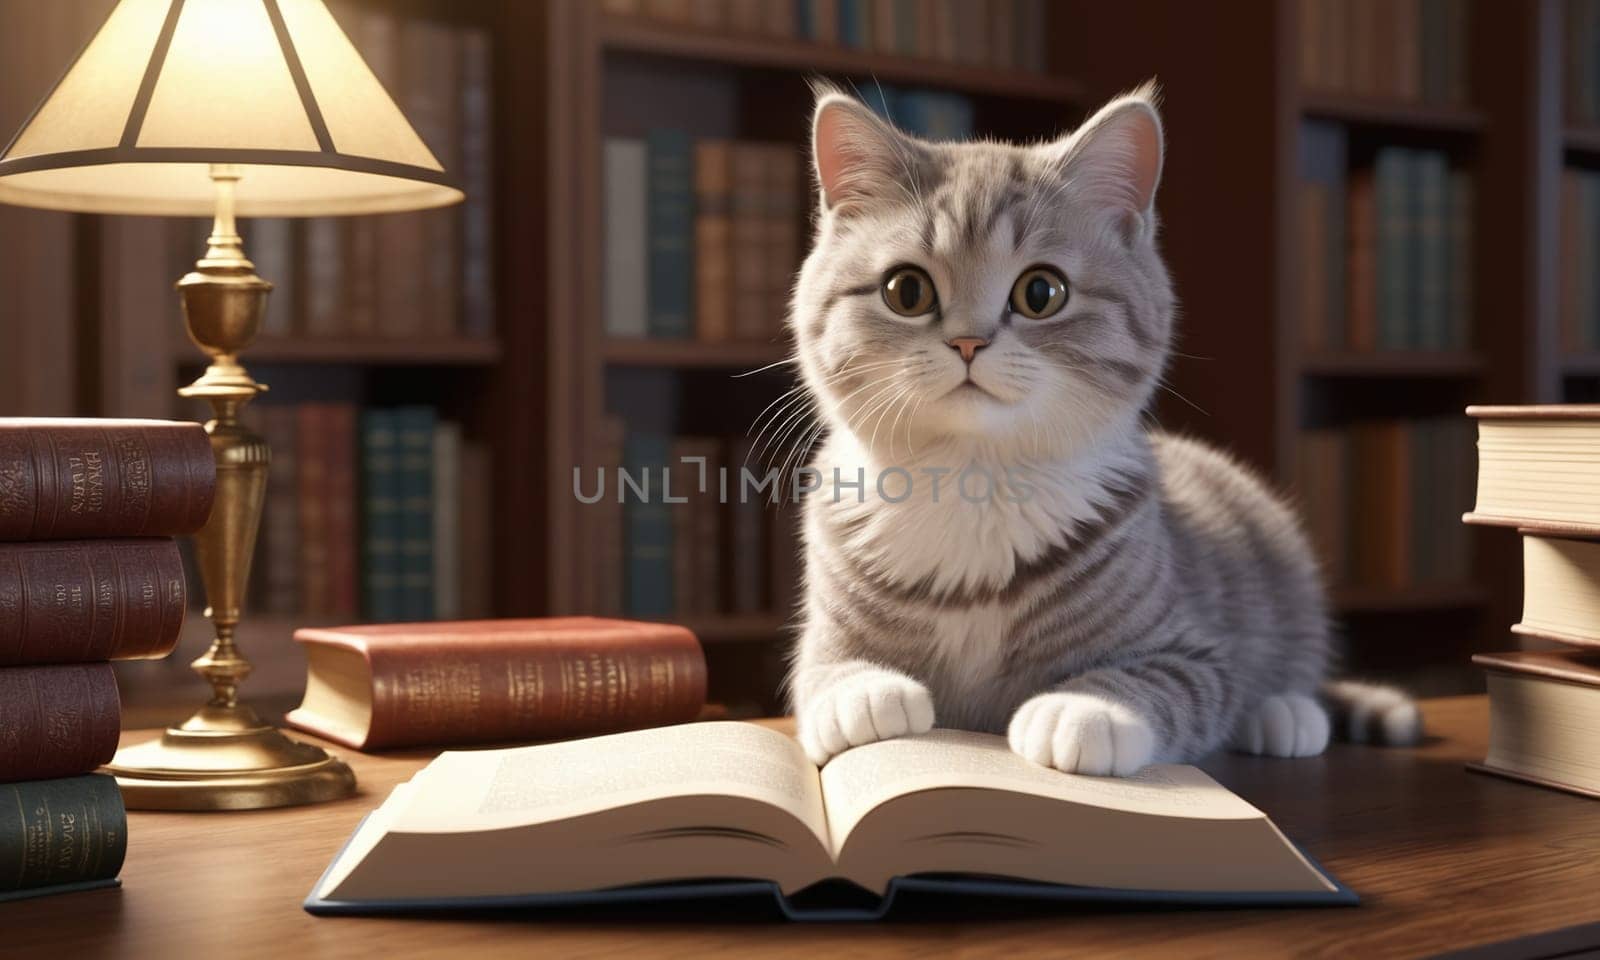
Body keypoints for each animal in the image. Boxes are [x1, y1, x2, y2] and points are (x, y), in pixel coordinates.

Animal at [780, 80, 1420, 771]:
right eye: (906, 290)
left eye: (1041, 292)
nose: (968, 342)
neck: (976, 478)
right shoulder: (823, 631)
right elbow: (819, 670)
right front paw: (860, 693)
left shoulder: (1191, 649)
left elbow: (1171, 681)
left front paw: (1084, 709)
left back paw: (1285, 713)